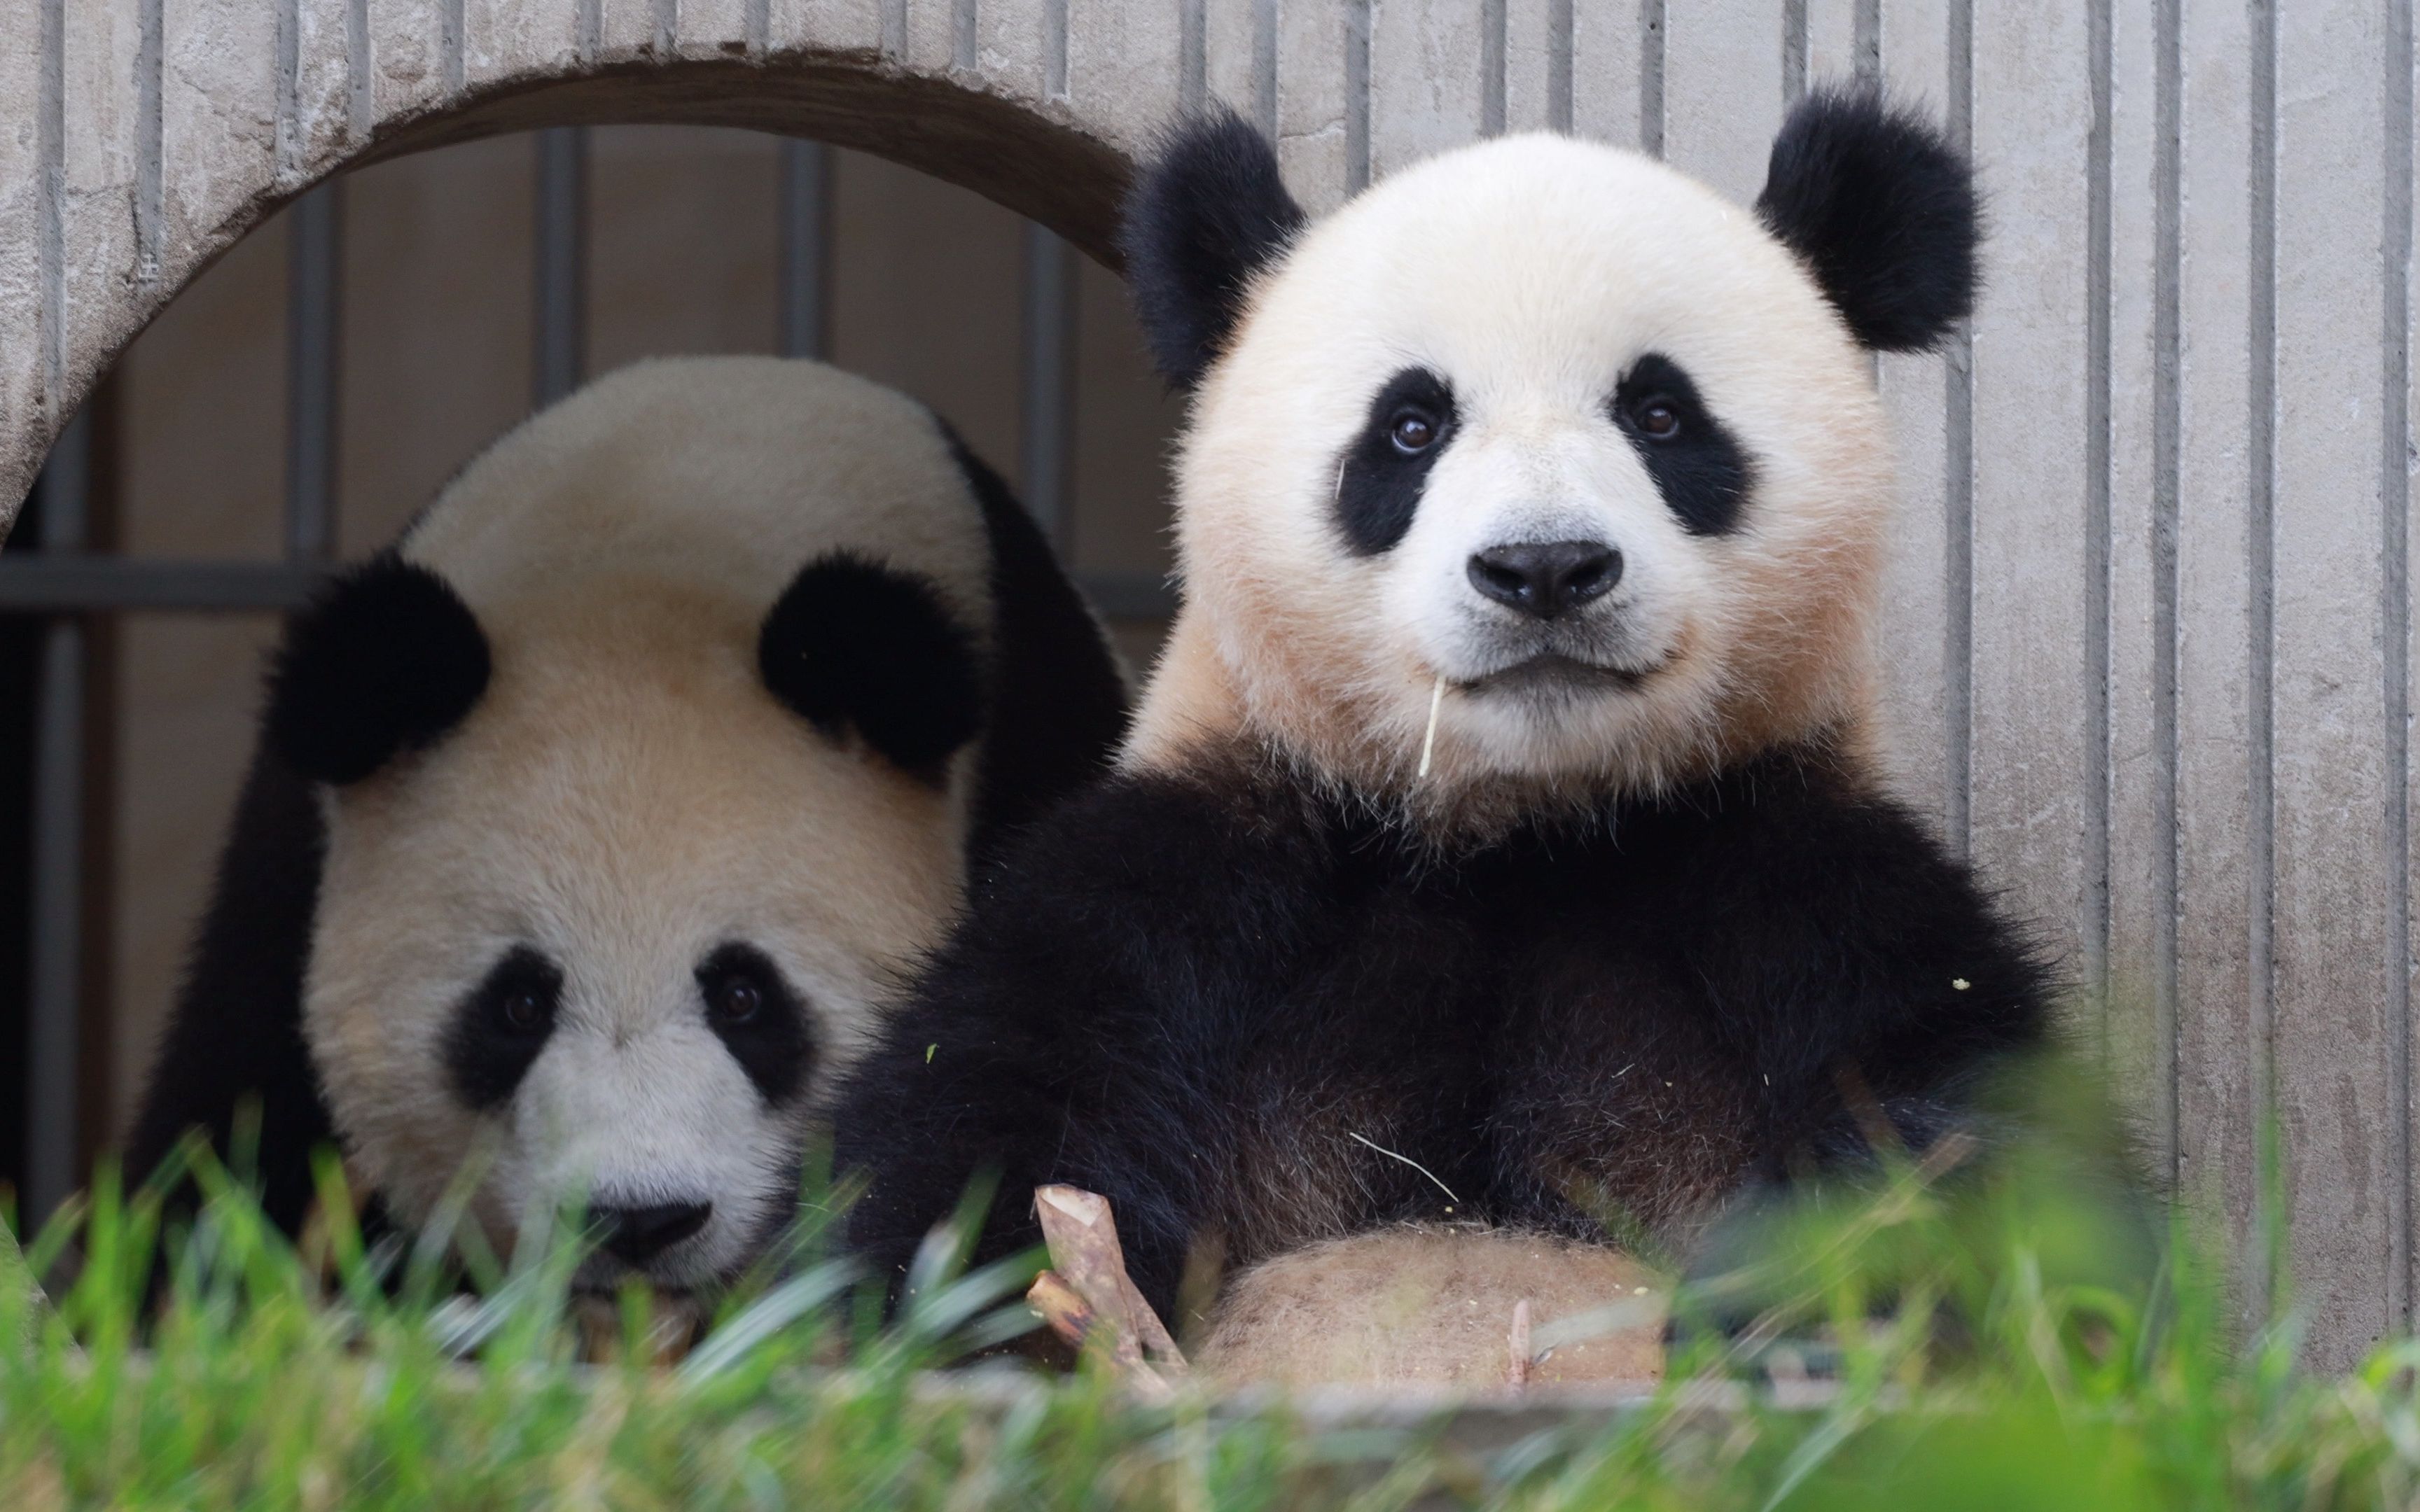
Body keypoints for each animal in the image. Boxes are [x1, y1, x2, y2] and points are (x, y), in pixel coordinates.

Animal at [837, 91, 2061, 1393]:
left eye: (1661, 414)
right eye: (1412, 426)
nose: (1545, 568)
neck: (1519, 833)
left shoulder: (1793, 871)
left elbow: (1958, 1139)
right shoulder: (1196, 868)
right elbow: (984, 1127)